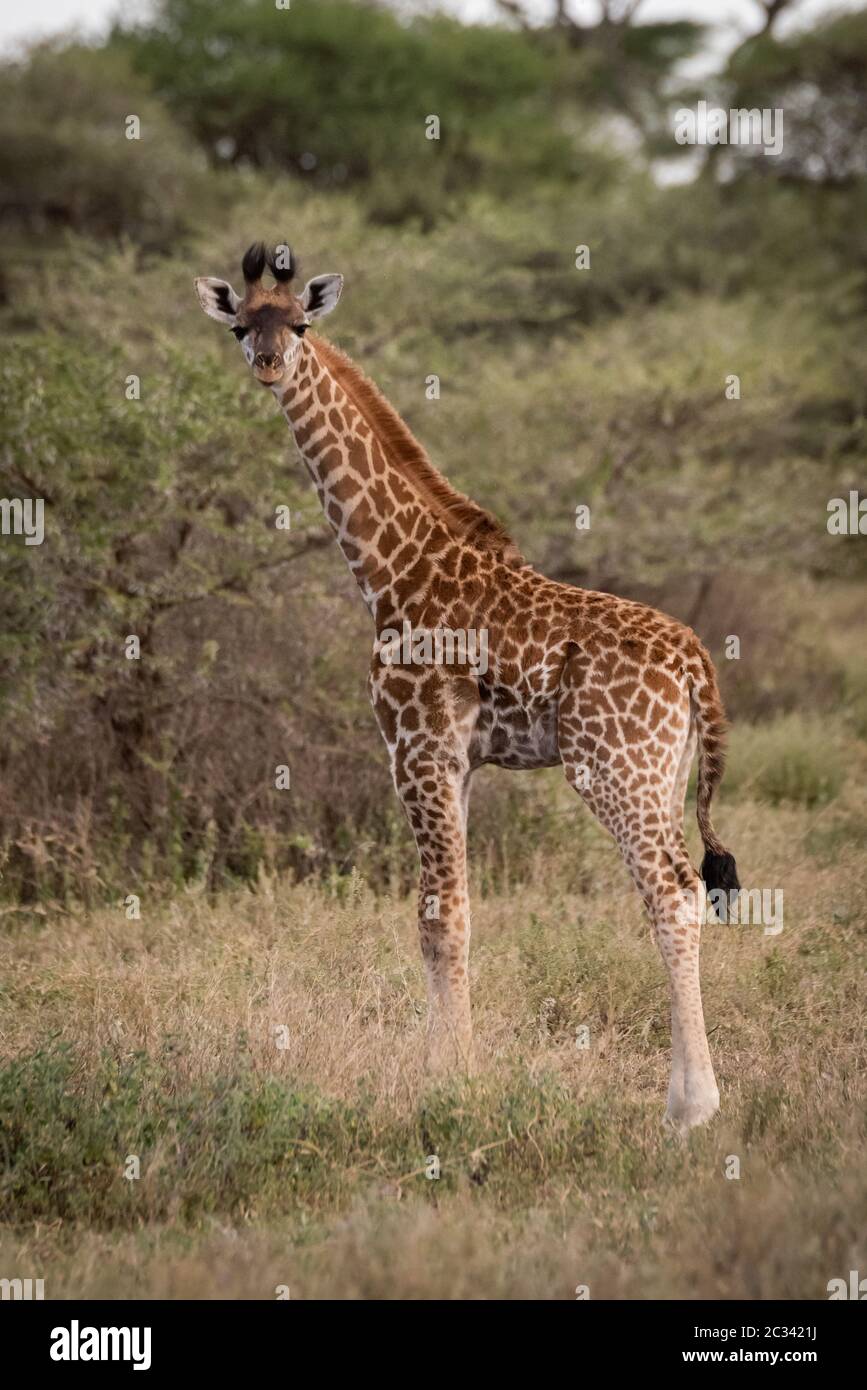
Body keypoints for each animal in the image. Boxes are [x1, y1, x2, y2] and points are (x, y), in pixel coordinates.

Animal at [194, 239, 739, 1128]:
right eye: (242, 324)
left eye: (300, 323)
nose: (268, 363)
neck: (391, 568)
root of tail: (696, 660)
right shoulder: (461, 762)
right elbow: (460, 912)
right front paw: (454, 1070)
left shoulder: (416, 747)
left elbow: (437, 917)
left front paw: (447, 1084)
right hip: (664, 771)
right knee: (685, 882)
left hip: (613, 767)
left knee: (669, 891)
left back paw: (689, 1108)